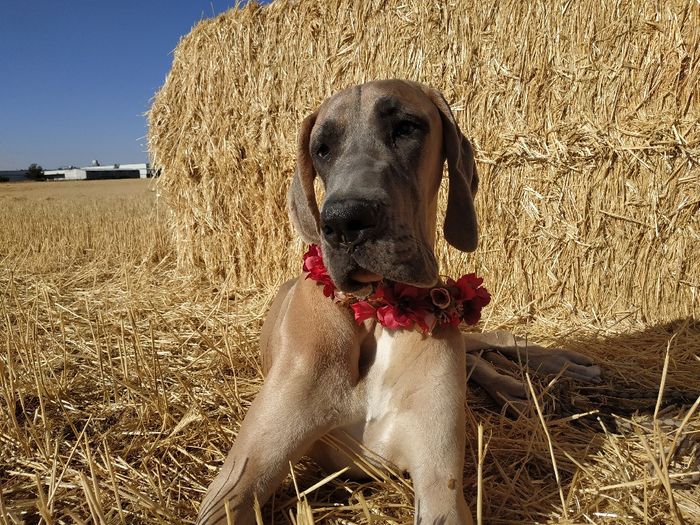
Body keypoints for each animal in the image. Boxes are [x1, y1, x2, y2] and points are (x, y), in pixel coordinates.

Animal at [194, 79, 600, 524]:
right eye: (322, 149)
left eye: (407, 127)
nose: (344, 221)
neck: (378, 311)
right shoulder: (237, 482)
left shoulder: (440, 486)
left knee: (492, 341)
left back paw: (557, 368)